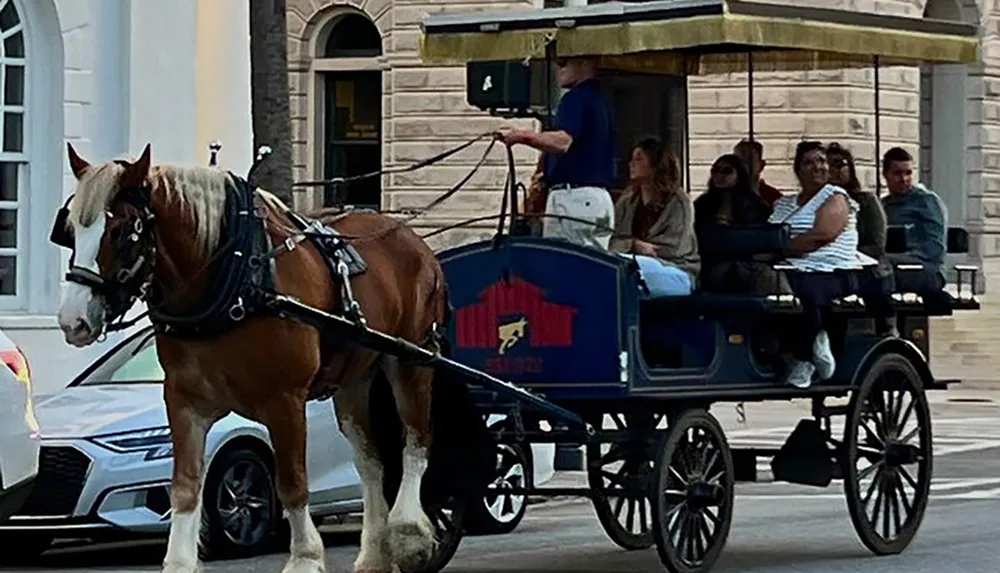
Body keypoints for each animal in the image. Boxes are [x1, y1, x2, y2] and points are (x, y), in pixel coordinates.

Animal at [56, 145, 456, 572]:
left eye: (120, 231)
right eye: (71, 231)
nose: (73, 320)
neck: (237, 279)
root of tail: (411, 237)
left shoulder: (285, 401)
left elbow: (292, 484)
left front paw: (305, 557)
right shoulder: (184, 401)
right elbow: (185, 486)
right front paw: (179, 560)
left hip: (411, 361)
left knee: (416, 441)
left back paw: (408, 534)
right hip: (353, 379)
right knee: (371, 463)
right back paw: (374, 554)